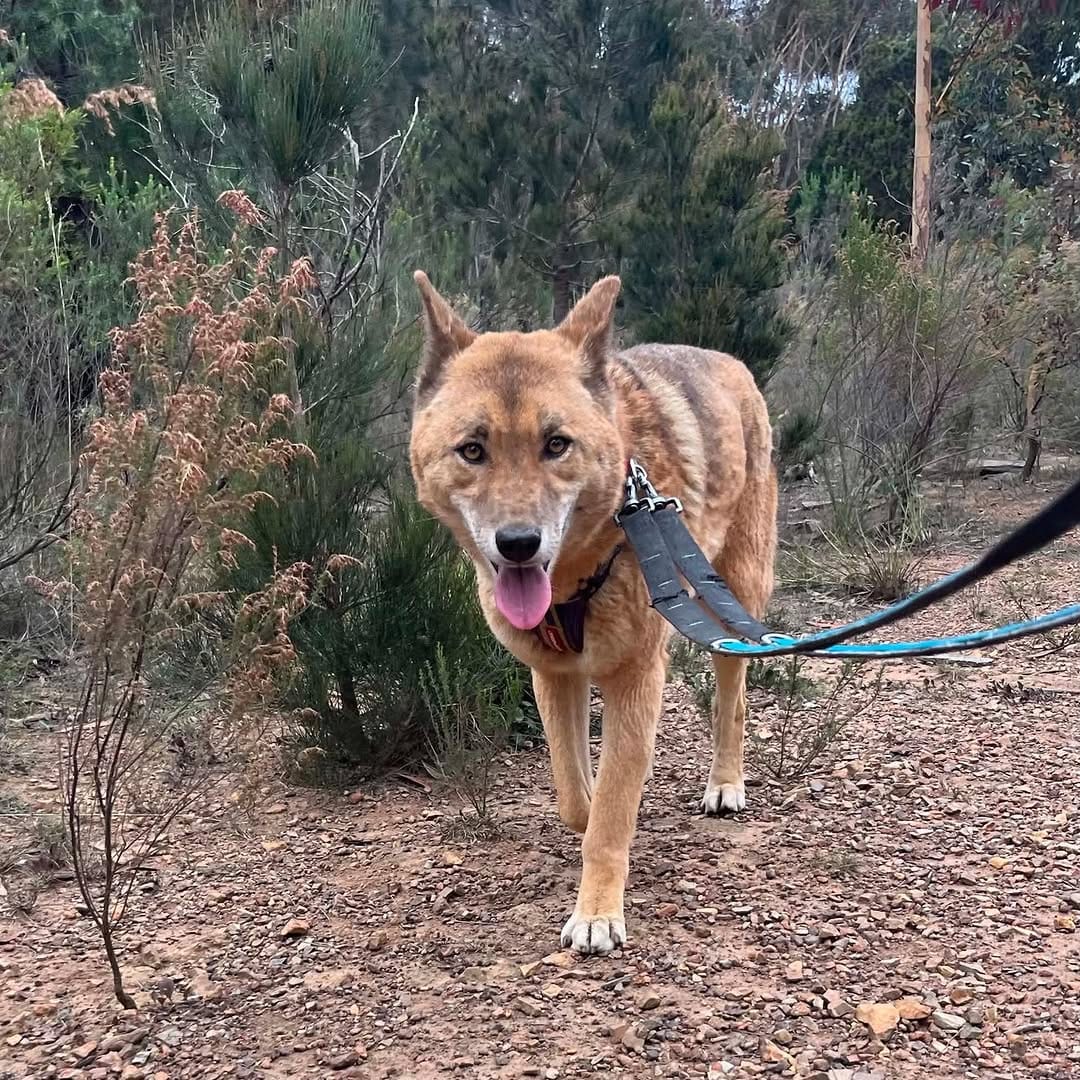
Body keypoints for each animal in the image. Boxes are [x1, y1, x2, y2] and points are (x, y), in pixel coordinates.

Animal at [408, 272, 776, 955]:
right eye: (472, 450)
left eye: (557, 444)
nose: (518, 544)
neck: (579, 578)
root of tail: (726, 359)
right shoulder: (555, 676)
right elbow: (581, 801)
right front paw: (589, 825)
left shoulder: (637, 681)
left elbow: (609, 813)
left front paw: (598, 912)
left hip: (735, 598)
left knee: (732, 699)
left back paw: (725, 782)